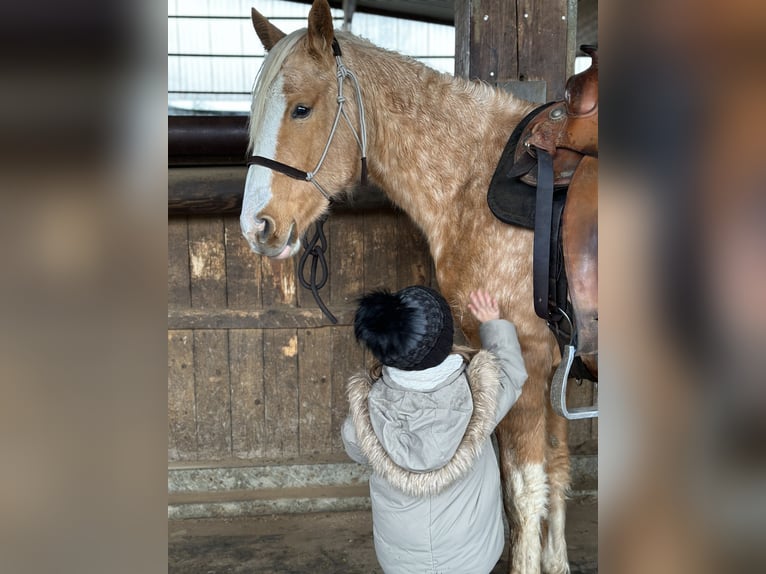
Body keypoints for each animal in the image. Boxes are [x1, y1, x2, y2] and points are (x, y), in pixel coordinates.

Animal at [242, 2, 576, 572]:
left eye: (302, 109)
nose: (256, 228)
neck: (473, 183)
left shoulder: (530, 367)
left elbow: (526, 491)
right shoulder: (550, 370)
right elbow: (555, 472)